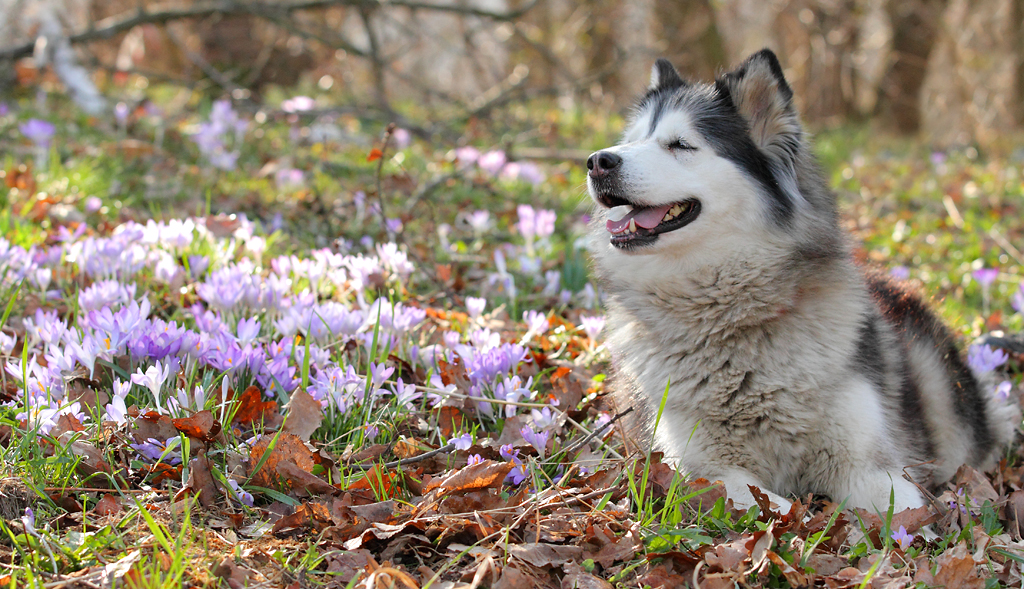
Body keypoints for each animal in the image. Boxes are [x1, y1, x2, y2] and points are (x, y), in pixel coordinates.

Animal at [589, 49, 1019, 512]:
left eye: (681, 145)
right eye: (632, 140)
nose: (597, 161)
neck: (733, 324)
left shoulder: (870, 465)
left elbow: (902, 510)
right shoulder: (705, 473)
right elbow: (774, 507)